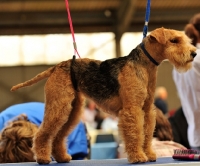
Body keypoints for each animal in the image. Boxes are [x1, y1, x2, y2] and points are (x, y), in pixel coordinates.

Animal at [10, 27, 196, 163]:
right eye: (174, 40)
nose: (193, 53)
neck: (144, 66)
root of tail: (56, 67)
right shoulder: (133, 109)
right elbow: (136, 133)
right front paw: (138, 157)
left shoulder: (147, 109)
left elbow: (147, 133)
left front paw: (149, 154)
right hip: (59, 105)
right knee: (42, 134)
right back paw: (42, 158)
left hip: (72, 110)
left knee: (58, 136)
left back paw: (62, 157)